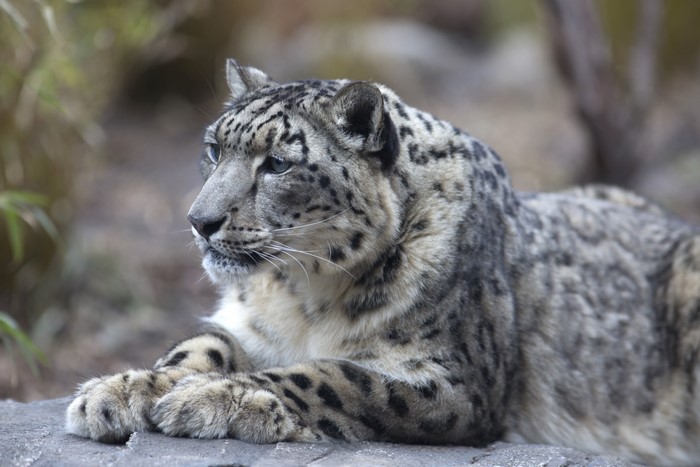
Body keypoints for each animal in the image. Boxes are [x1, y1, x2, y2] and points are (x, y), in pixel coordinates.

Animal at [66, 59, 700, 465]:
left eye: (277, 163)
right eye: (214, 148)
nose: (200, 220)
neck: (302, 295)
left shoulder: (455, 381)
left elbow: (337, 376)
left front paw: (214, 398)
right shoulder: (244, 325)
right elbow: (198, 345)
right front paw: (120, 391)